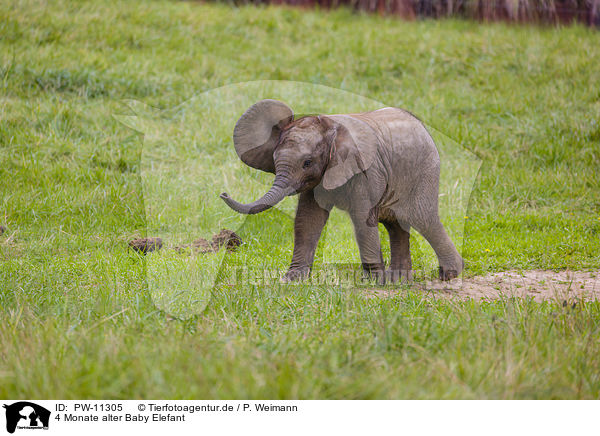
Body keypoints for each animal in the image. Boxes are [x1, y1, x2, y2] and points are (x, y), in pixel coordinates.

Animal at [220, 99, 464, 282]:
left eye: (307, 163)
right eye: (274, 158)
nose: (223, 193)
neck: (331, 129)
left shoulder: (367, 171)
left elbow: (362, 219)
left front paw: (374, 281)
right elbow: (308, 220)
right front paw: (292, 279)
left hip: (424, 172)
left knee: (424, 219)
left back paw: (449, 274)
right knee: (396, 225)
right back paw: (400, 280)